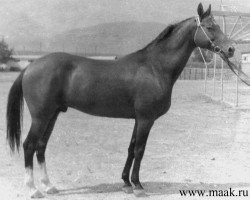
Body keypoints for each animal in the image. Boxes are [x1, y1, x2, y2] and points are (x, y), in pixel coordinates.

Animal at [6, 3, 236, 198]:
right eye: (210, 27)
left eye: (217, 25)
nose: (231, 49)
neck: (154, 67)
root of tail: (30, 66)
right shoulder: (146, 119)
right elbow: (140, 150)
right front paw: (138, 186)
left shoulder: (138, 119)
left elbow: (131, 148)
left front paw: (126, 183)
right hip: (41, 116)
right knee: (29, 145)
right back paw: (33, 189)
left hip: (52, 115)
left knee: (41, 146)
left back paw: (49, 186)